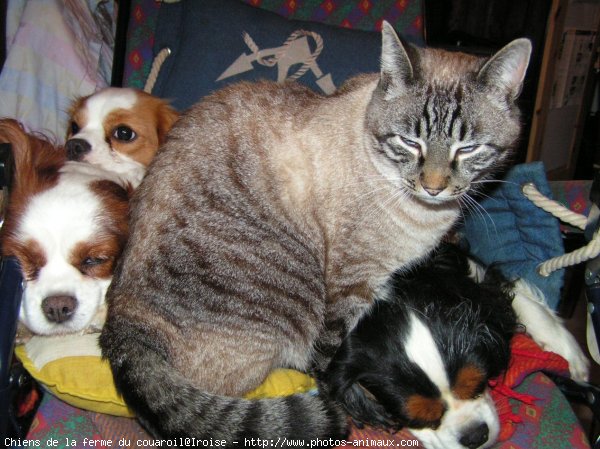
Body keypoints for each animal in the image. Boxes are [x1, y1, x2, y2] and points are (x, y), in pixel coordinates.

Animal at [101, 21, 532, 444]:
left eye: (468, 148)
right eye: (410, 143)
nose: (434, 186)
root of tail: (119, 326)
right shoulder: (353, 285)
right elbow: (329, 361)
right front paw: (355, 402)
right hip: (297, 293)